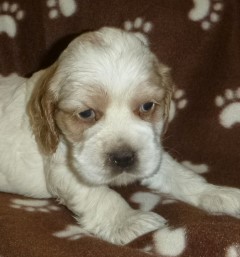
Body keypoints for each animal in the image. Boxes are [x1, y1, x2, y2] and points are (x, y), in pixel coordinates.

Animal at [0, 27, 240, 243]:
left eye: (147, 106)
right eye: (86, 113)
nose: (123, 158)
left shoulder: (151, 151)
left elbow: (179, 175)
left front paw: (217, 193)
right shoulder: (65, 168)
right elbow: (101, 196)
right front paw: (129, 222)